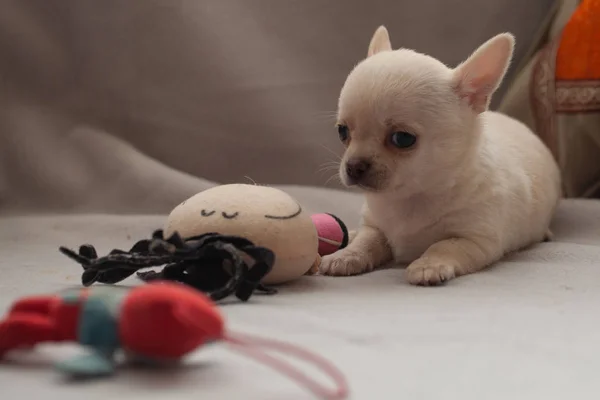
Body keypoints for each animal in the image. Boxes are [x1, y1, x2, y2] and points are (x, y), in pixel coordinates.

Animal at [322, 26, 560, 286]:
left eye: (402, 138)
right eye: (342, 131)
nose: (353, 166)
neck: (412, 198)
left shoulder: (475, 239)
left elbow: (444, 246)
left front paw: (428, 265)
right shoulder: (375, 226)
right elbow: (368, 240)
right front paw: (346, 255)